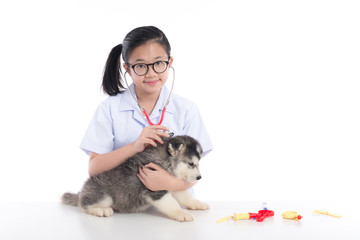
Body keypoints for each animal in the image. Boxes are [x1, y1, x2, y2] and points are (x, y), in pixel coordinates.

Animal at [62, 136, 208, 222]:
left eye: (198, 163)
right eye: (191, 164)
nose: (199, 177)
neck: (164, 162)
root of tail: (82, 191)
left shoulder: (169, 182)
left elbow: (186, 196)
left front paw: (197, 204)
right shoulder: (155, 189)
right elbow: (171, 203)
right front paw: (181, 213)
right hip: (104, 196)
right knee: (84, 204)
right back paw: (101, 210)